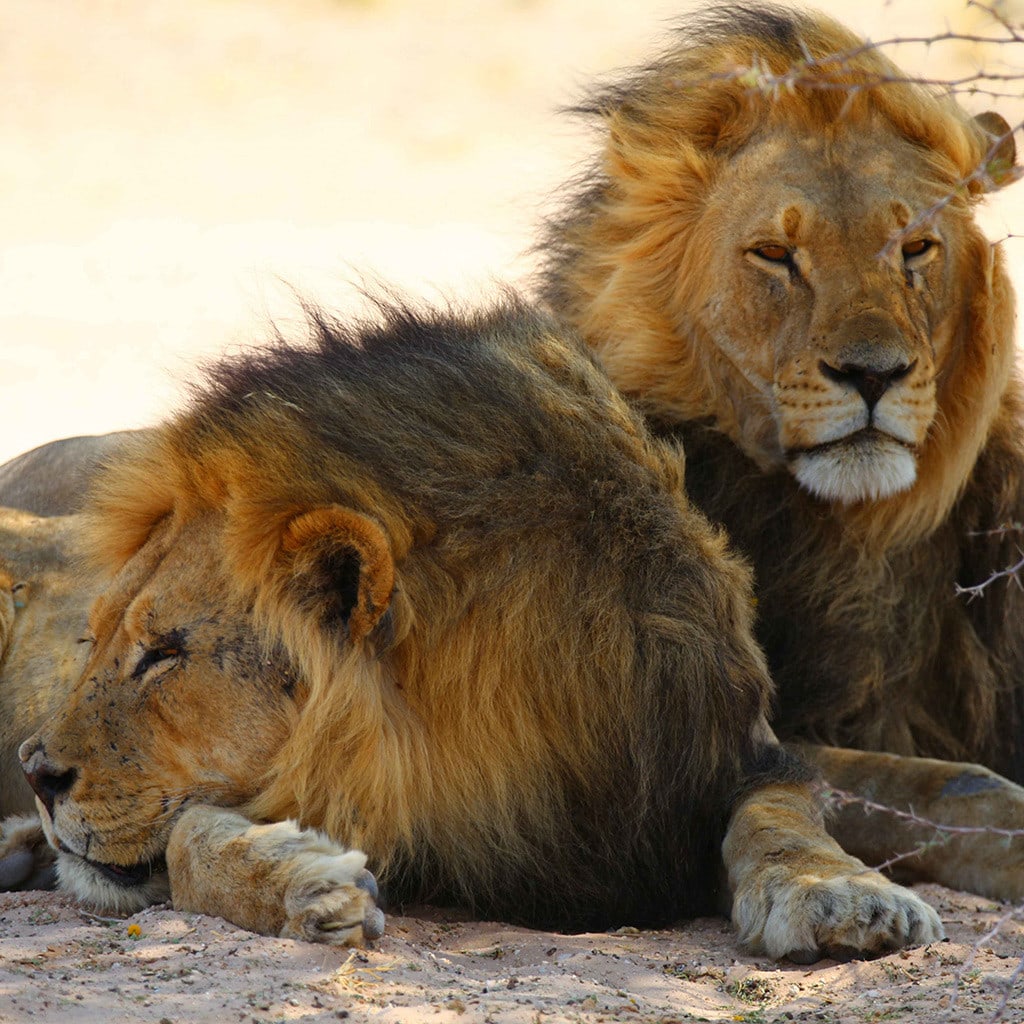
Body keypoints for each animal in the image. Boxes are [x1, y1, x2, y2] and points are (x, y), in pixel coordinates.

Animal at [0, 297, 941, 959]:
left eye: (164, 654)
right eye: (93, 642)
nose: (41, 774)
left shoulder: (729, 754)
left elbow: (782, 823)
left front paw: (846, 897)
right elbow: (192, 839)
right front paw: (306, 884)